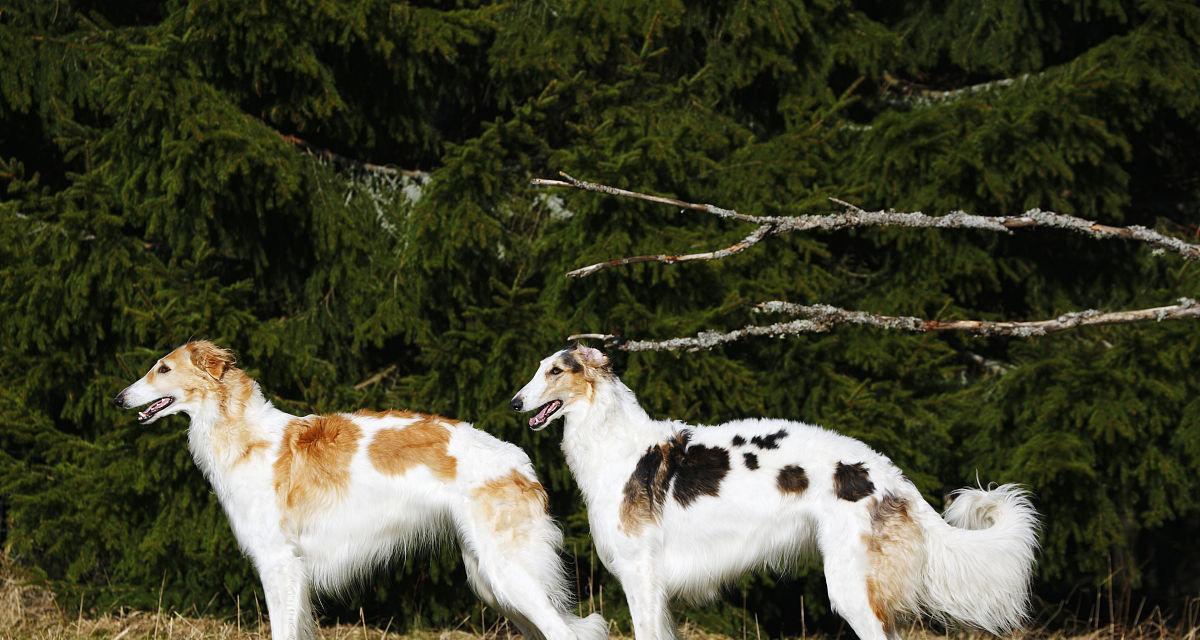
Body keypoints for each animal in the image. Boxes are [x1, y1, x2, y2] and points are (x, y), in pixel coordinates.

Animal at [117, 341, 604, 638]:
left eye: (163, 368)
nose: (119, 398)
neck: (243, 433)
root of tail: (521, 464)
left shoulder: (279, 563)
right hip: (489, 578)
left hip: (508, 572)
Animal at [511, 343, 1036, 638]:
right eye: (536, 368)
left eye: (555, 371)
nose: (514, 402)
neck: (616, 444)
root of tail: (890, 475)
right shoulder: (657, 592)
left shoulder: (640, 578)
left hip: (851, 587)